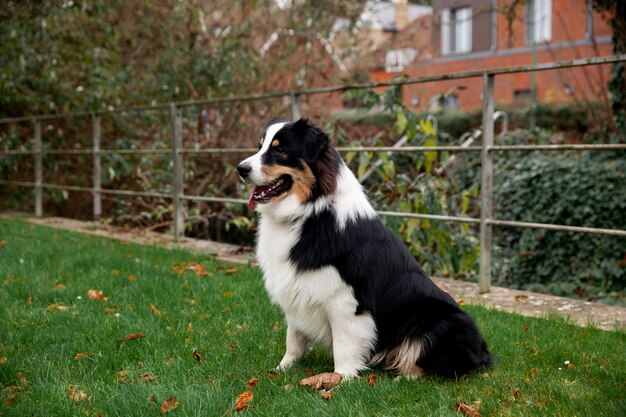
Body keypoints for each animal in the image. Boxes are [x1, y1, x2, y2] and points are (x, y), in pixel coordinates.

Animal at [236, 118, 490, 380]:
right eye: (260, 146)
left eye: (280, 151)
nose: (240, 168)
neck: (310, 212)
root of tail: (484, 354)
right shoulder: (298, 288)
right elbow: (294, 338)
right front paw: (282, 369)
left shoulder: (345, 298)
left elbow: (344, 344)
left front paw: (341, 379)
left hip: (438, 320)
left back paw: (403, 377)